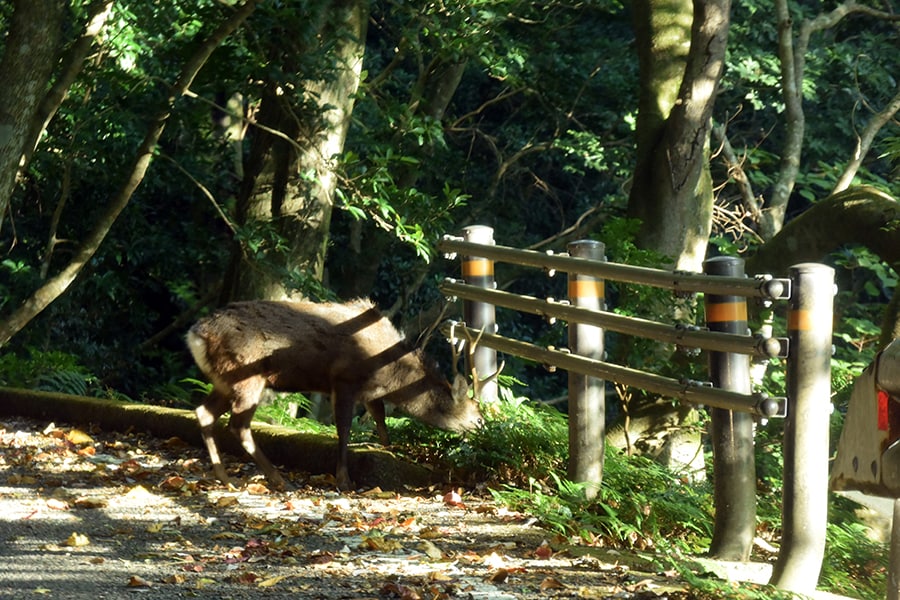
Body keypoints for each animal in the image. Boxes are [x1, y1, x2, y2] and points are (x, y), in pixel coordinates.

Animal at [188, 298, 500, 490]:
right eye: (478, 418)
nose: (488, 438)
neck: (391, 372)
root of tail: (195, 334)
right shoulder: (344, 379)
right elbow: (345, 429)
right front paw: (344, 480)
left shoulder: (370, 393)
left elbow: (380, 421)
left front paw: (389, 451)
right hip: (247, 375)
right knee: (238, 424)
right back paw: (278, 479)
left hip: (225, 380)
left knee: (204, 413)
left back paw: (224, 477)